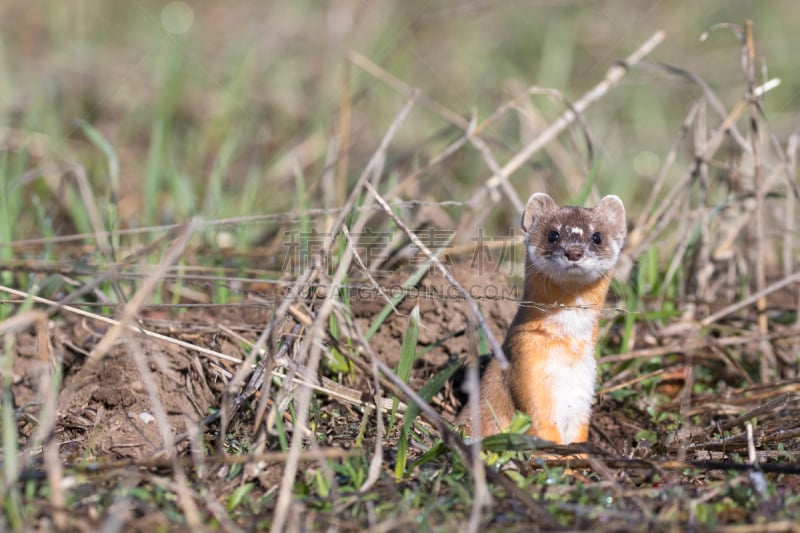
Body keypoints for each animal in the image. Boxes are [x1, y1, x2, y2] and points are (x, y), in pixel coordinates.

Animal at [456, 193, 624, 442]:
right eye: (553, 234)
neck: (567, 359)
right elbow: (542, 426)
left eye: (597, 236)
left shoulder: (585, 389)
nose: (574, 252)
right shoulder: (526, 369)